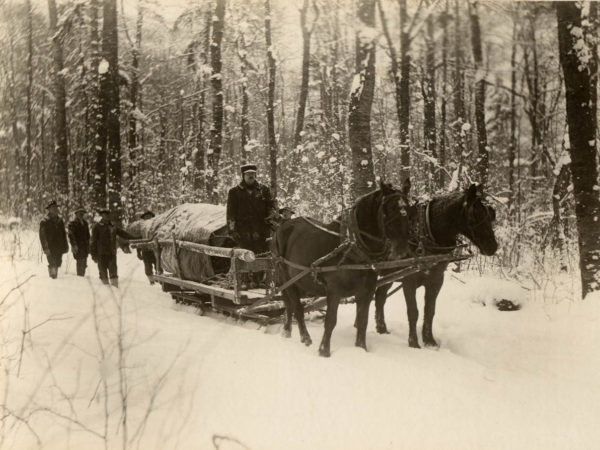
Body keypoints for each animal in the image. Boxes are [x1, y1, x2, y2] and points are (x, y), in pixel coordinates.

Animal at [272, 181, 412, 356]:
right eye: (390, 209)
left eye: (408, 208)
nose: (402, 249)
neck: (355, 248)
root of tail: (283, 225)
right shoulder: (334, 291)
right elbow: (331, 321)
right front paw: (324, 351)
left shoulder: (366, 292)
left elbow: (362, 321)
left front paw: (361, 349)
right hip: (287, 278)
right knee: (296, 307)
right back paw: (305, 338)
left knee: (289, 305)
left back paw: (287, 331)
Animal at [376, 183, 496, 348]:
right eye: (473, 215)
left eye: (489, 214)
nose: (493, 246)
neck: (424, 235)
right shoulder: (409, 281)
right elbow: (413, 311)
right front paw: (413, 343)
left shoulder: (436, 279)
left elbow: (429, 311)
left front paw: (429, 341)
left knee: (380, 297)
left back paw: (381, 328)